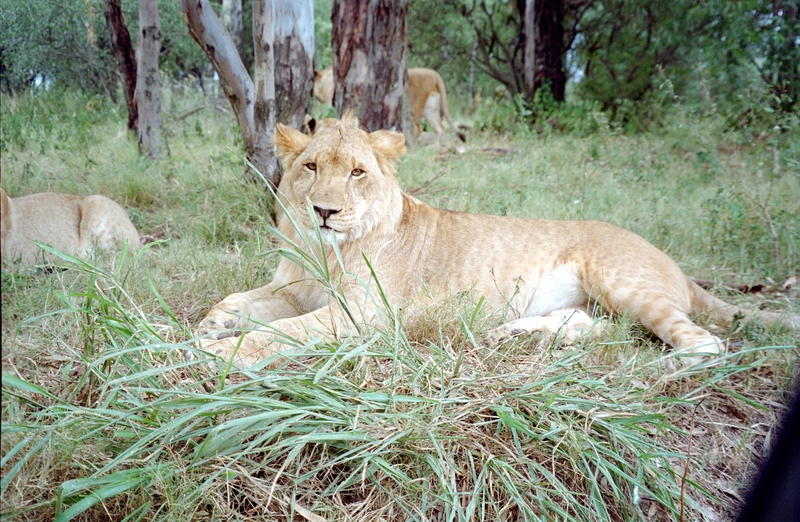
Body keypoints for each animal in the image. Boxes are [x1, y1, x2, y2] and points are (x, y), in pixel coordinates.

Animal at [195, 114, 800, 366]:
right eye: (312, 167)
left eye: (358, 173)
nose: (324, 210)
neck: (325, 250)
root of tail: (675, 263)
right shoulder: (295, 289)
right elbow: (239, 300)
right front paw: (211, 324)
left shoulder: (361, 315)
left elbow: (282, 333)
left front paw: (220, 353)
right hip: (597, 302)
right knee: (601, 328)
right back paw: (513, 335)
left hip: (623, 282)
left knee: (701, 344)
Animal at [310, 67, 466, 145]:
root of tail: (434, 74)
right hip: (431, 108)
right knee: (440, 128)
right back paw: (435, 148)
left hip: (415, 107)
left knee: (418, 128)